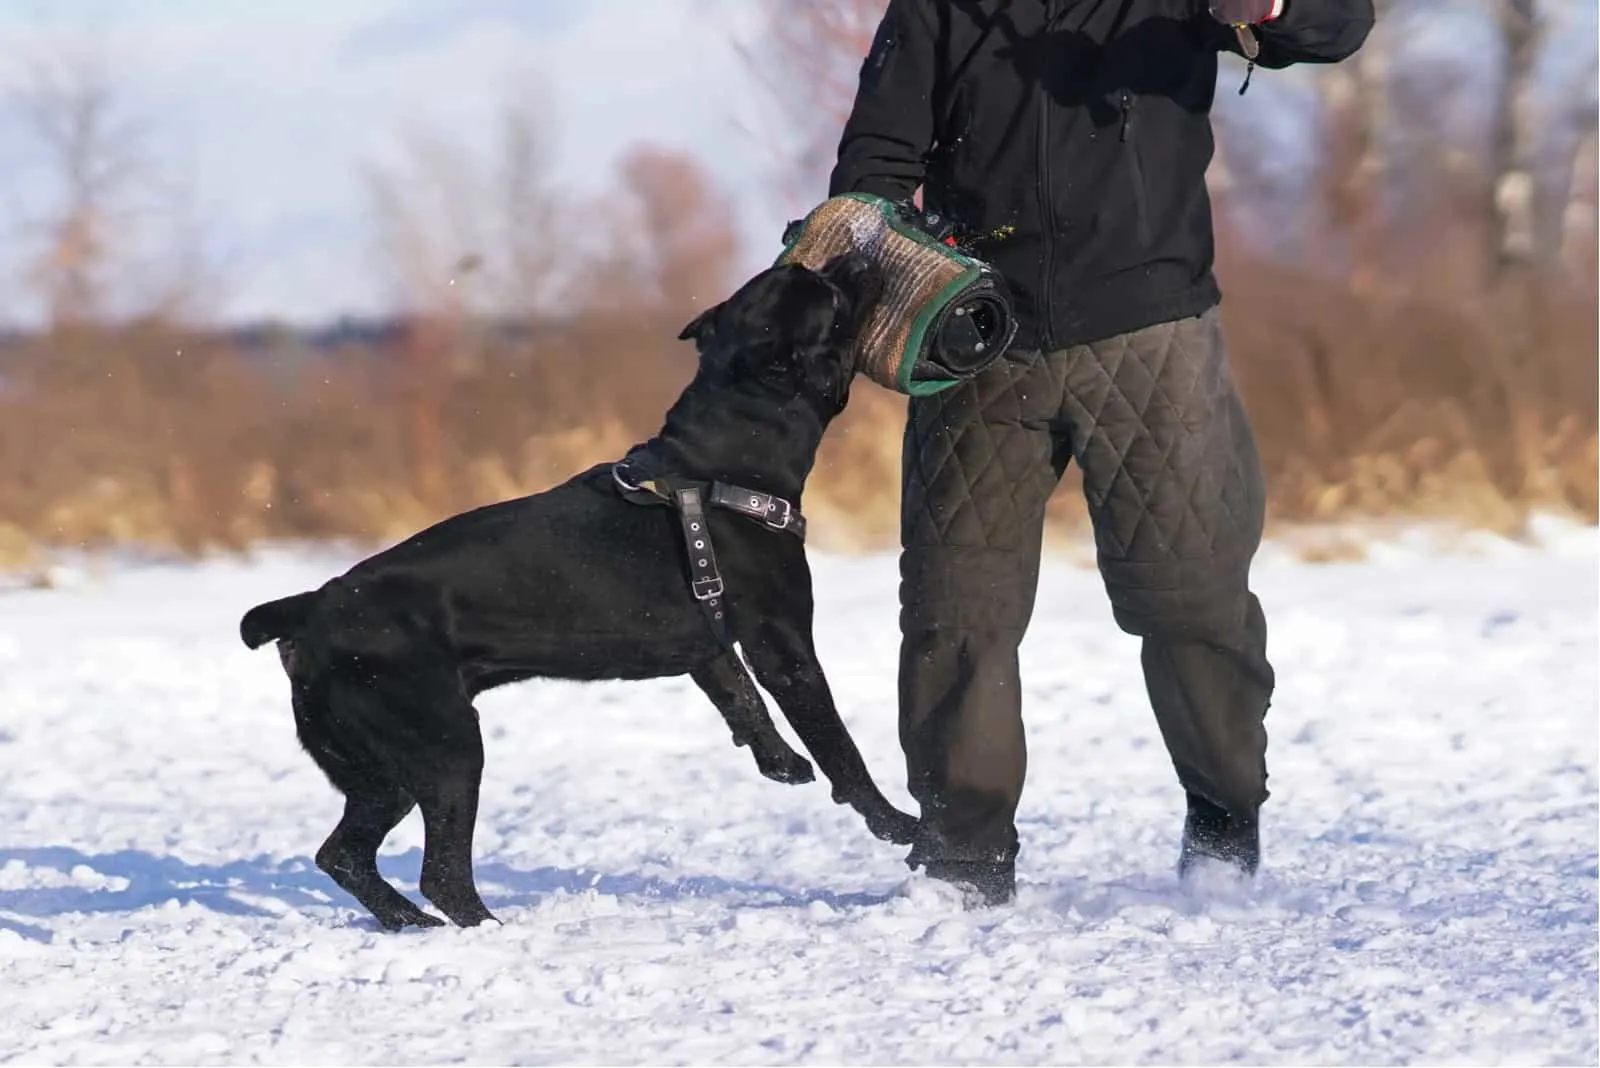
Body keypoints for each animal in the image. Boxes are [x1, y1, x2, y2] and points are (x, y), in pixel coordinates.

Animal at [235, 251, 915, 927]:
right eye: (826, 296)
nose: (850, 256)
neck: (721, 465)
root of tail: (309, 611)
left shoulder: (710, 644)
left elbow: (741, 699)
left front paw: (781, 763)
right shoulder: (784, 646)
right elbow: (839, 746)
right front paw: (896, 822)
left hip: (380, 771)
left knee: (344, 855)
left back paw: (411, 924)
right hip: (446, 749)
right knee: (440, 873)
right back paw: (483, 928)